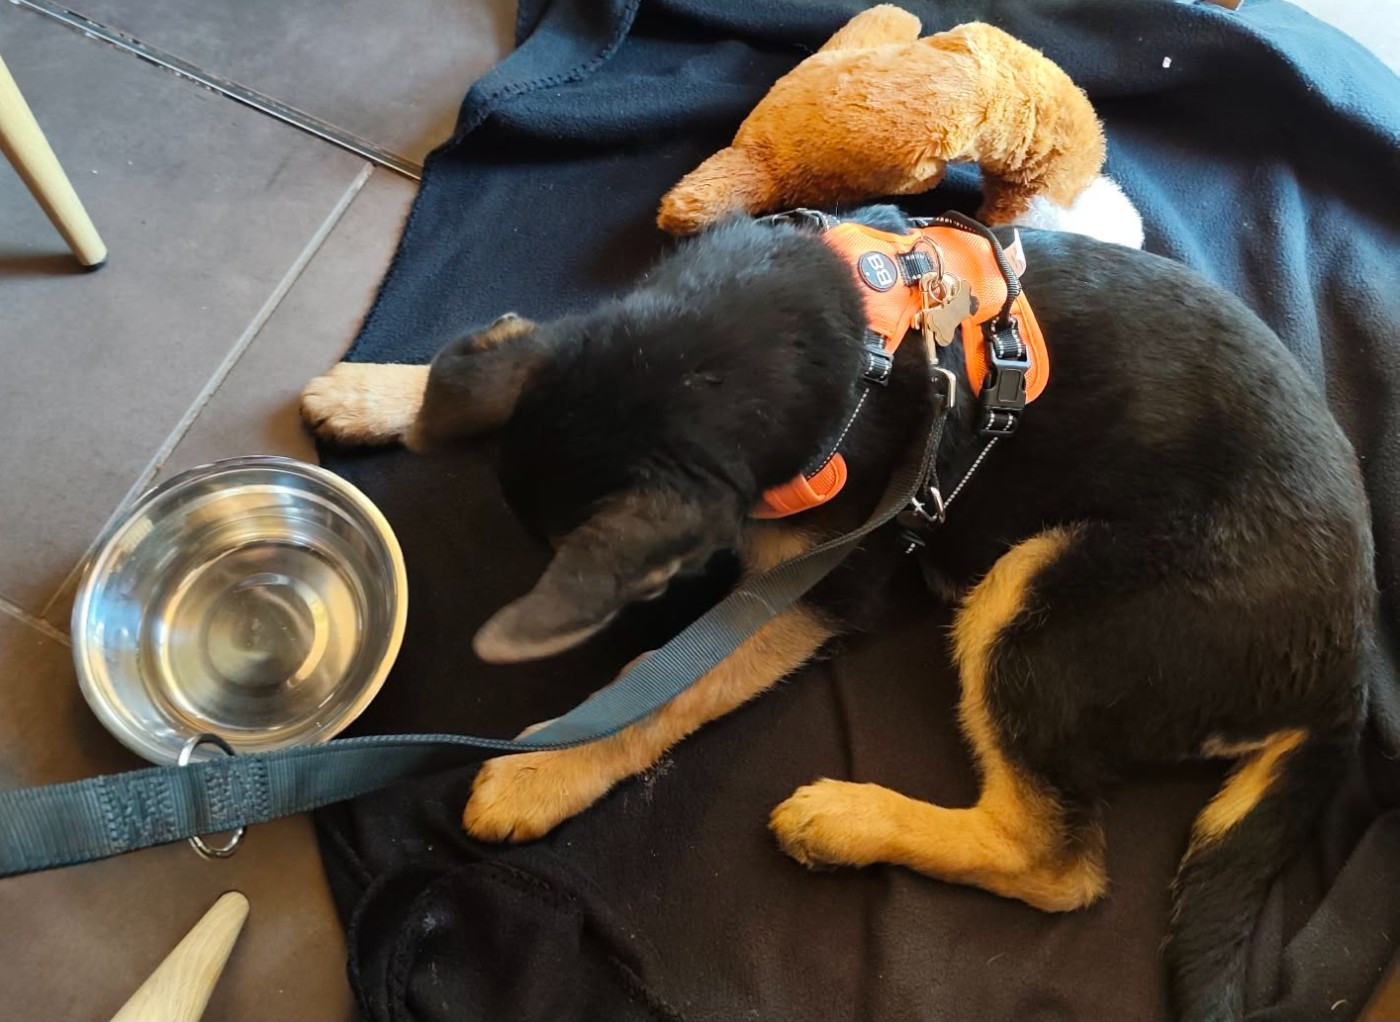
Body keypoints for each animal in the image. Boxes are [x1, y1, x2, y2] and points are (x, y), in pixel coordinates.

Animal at [301, 207, 1373, 1021]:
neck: (834, 327)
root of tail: (1351, 669)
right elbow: (518, 345)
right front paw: (383, 391)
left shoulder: (815, 588)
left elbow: (662, 685)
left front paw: (548, 768)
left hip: (1038, 598)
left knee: (1056, 862)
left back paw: (849, 821)